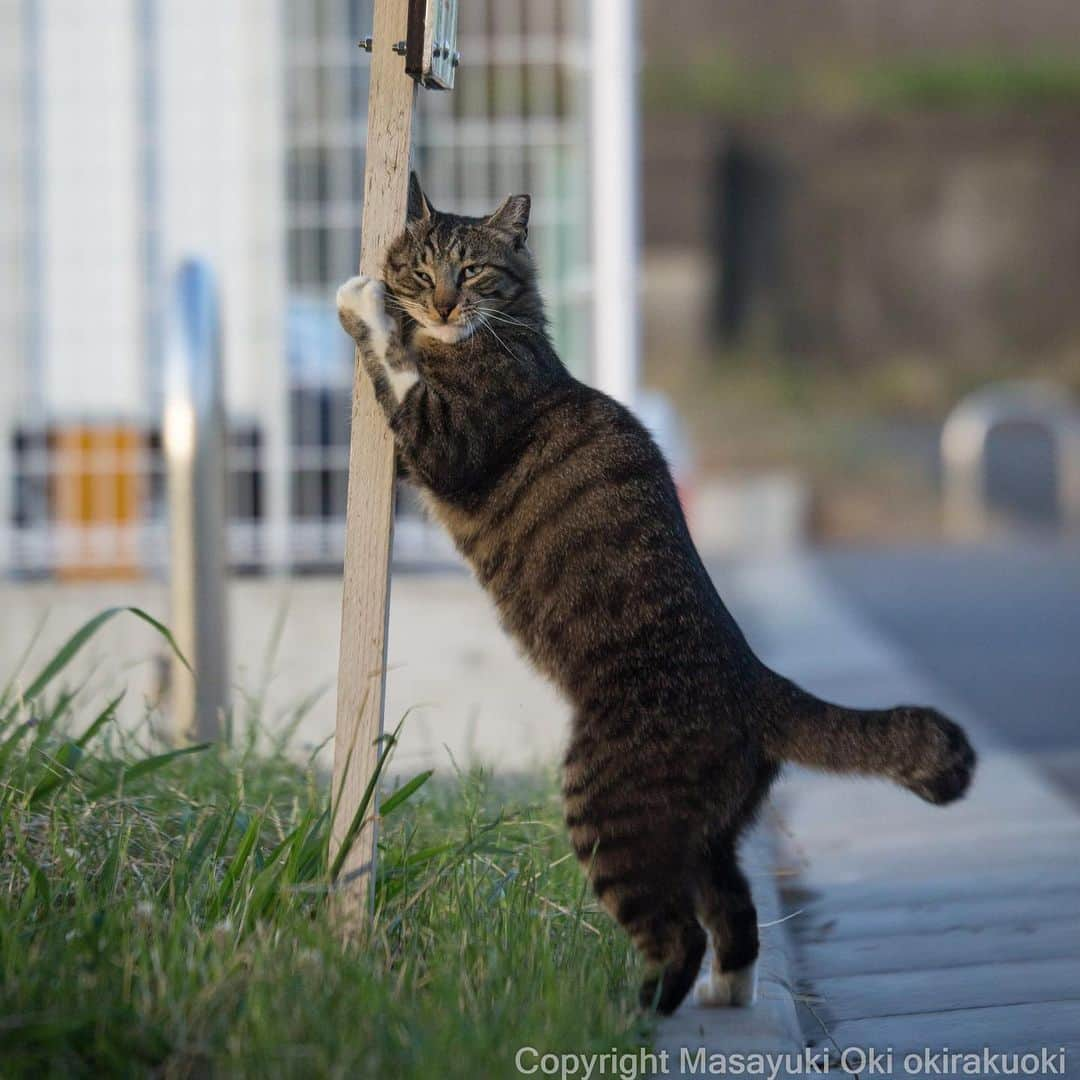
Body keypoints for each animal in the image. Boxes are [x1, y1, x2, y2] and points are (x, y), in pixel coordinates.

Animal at [336, 172, 980, 1015]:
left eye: (471, 272)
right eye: (423, 269)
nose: (442, 304)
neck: (497, 335)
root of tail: (755, 682)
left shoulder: (442, 444)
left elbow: (397, 364)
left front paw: (361, 302)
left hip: (608, 807)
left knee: (680, 933)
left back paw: (630, 1013)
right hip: (702, 834)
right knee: (734, 910)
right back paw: (722, 997)